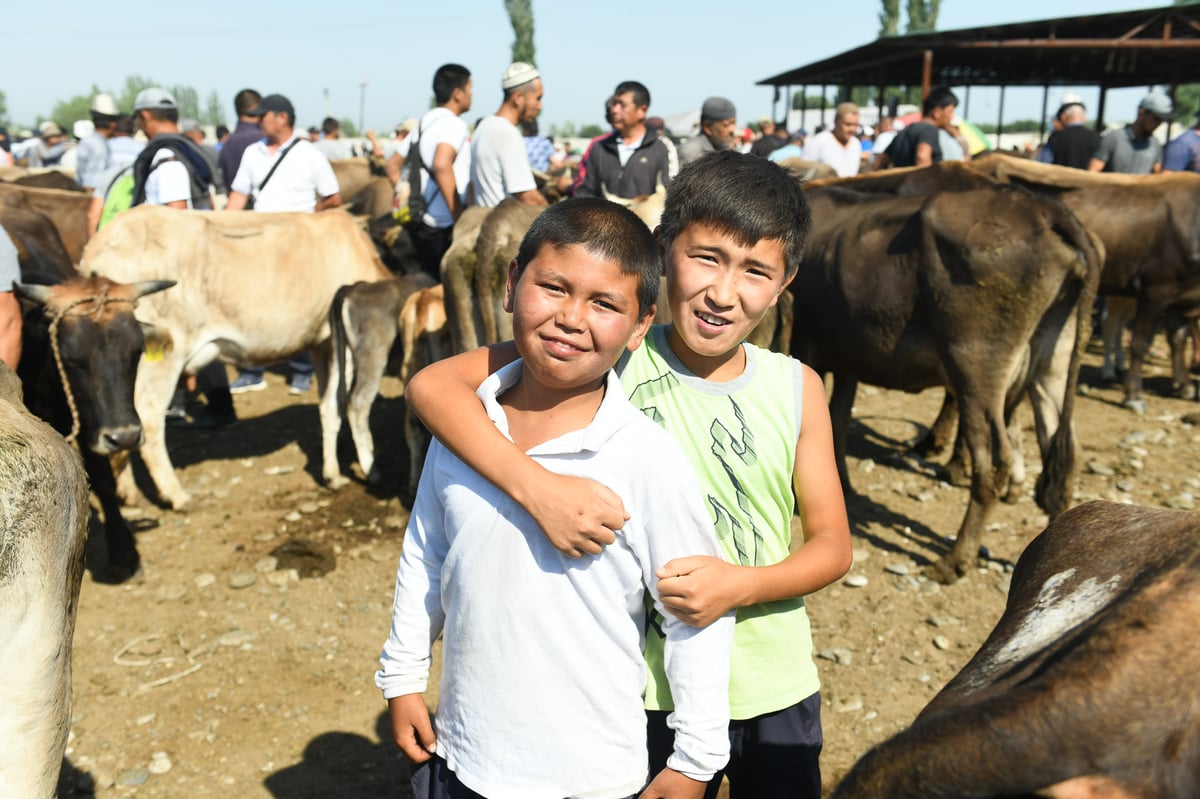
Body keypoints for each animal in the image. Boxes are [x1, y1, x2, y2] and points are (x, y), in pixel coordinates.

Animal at [83, 202, 393, 506]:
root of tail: (98, 245)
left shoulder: (322, 344)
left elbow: (328, 403)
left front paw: (335, 462)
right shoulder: (345, 345)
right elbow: (343, 403)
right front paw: (355, 470)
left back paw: (127, 492)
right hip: (165, 351)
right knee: (148, 414)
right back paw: (175, 494)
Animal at [326, 271, 439, 489]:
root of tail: (352, 288)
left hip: (341, 357)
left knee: (330, 403)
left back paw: (332, 475)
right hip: (372, 357)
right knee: (357, 404)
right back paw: (372, 470)